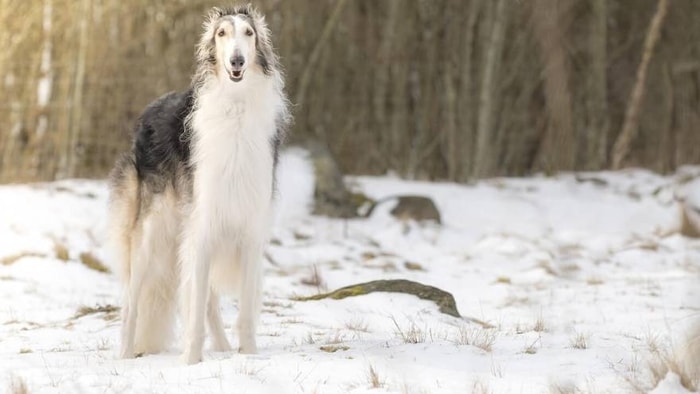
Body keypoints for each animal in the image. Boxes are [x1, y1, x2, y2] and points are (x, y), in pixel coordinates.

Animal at [108, 4, 288, 364]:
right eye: (221, 33)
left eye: (249, 33)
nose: (237, 61)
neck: (235, 107)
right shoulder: (203, 225)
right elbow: (193, 306)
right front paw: (190, 362)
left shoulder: (248, 229)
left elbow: (243, 311)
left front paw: (248, 355)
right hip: (151, 233)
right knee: (132, 302)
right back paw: (125, 355)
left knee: (207, 303)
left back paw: (222, 347)